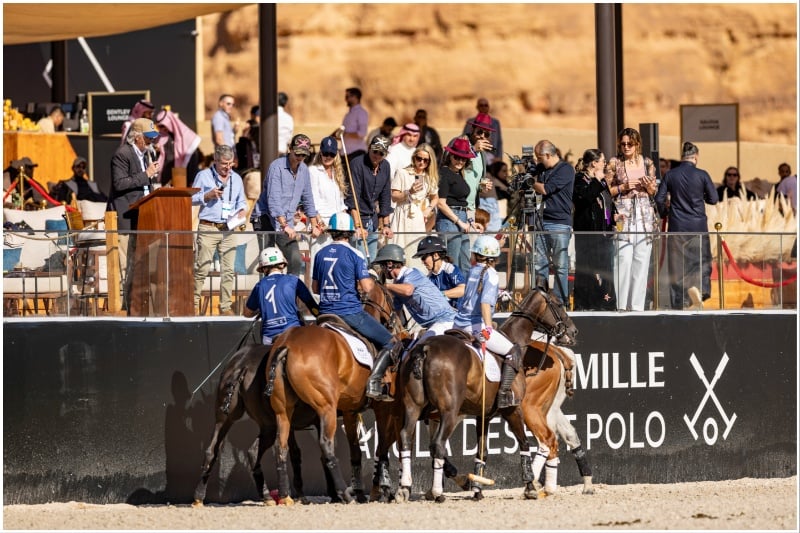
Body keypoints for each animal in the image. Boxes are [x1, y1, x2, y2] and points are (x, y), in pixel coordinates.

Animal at [268, 276, 406, 504]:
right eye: (391, 298)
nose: (401, 328)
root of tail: (287, 345)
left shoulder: (350, 411)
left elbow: (356, 451)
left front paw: (362, 491)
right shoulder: (382, 408)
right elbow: (382, 447)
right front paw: (382, 489)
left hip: (282, 409)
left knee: (280, 446)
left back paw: (287, 495)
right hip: (326, 407)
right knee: (326, 446)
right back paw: (344, 493)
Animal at [396, 280, 576, 500]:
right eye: (558, 304)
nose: (573, 331)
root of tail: (425, 348)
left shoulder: (484, 415)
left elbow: (482, 452)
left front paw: (477, 489)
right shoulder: (512, 409)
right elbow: (524, 444)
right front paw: (529, 486)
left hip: (414, 406)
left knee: (406, 438)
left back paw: (404, 487)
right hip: (452, 411)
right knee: (438, 444)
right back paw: (437, 492)